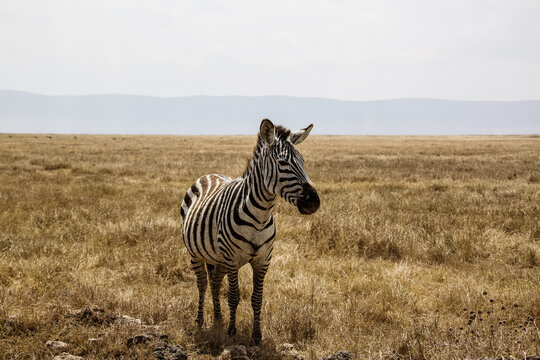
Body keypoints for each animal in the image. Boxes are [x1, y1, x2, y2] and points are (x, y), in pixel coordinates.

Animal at [181, 118, 318, 344]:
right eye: (283, 163)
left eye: (303, 162)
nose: (314, 202)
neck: (260, 216)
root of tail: (209, 174)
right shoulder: (232, 259)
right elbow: (234, 296)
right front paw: (232, 333)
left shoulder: (263, 260)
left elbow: (257, 298)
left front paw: (256, 335)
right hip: (195, 253)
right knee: (202, 284)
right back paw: (200, 321)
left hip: (218, 258)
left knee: (215, 283)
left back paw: (218, 319)